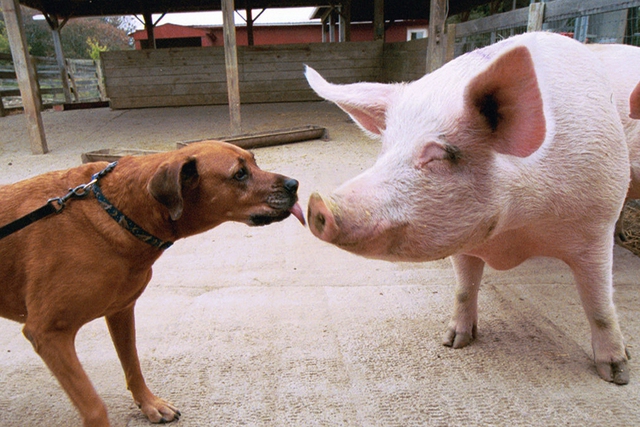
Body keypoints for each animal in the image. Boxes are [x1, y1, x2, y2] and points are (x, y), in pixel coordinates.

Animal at [0, 140, 304, 424]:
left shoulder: (121, 311)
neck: (121, 212)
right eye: (239, 174)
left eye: (254, 161)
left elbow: (132, 363)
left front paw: (149, 404)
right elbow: (95, 407)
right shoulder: (48, 333)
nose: (294, 184)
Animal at [308, 31, 632, 386]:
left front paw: (617, 374)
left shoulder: (597, 223)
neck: (515, 233)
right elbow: (464, 287)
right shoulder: (462, 239)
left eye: (437, 155)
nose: (316, 203)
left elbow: (599, 302)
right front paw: (453, 342)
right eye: (385, 150)